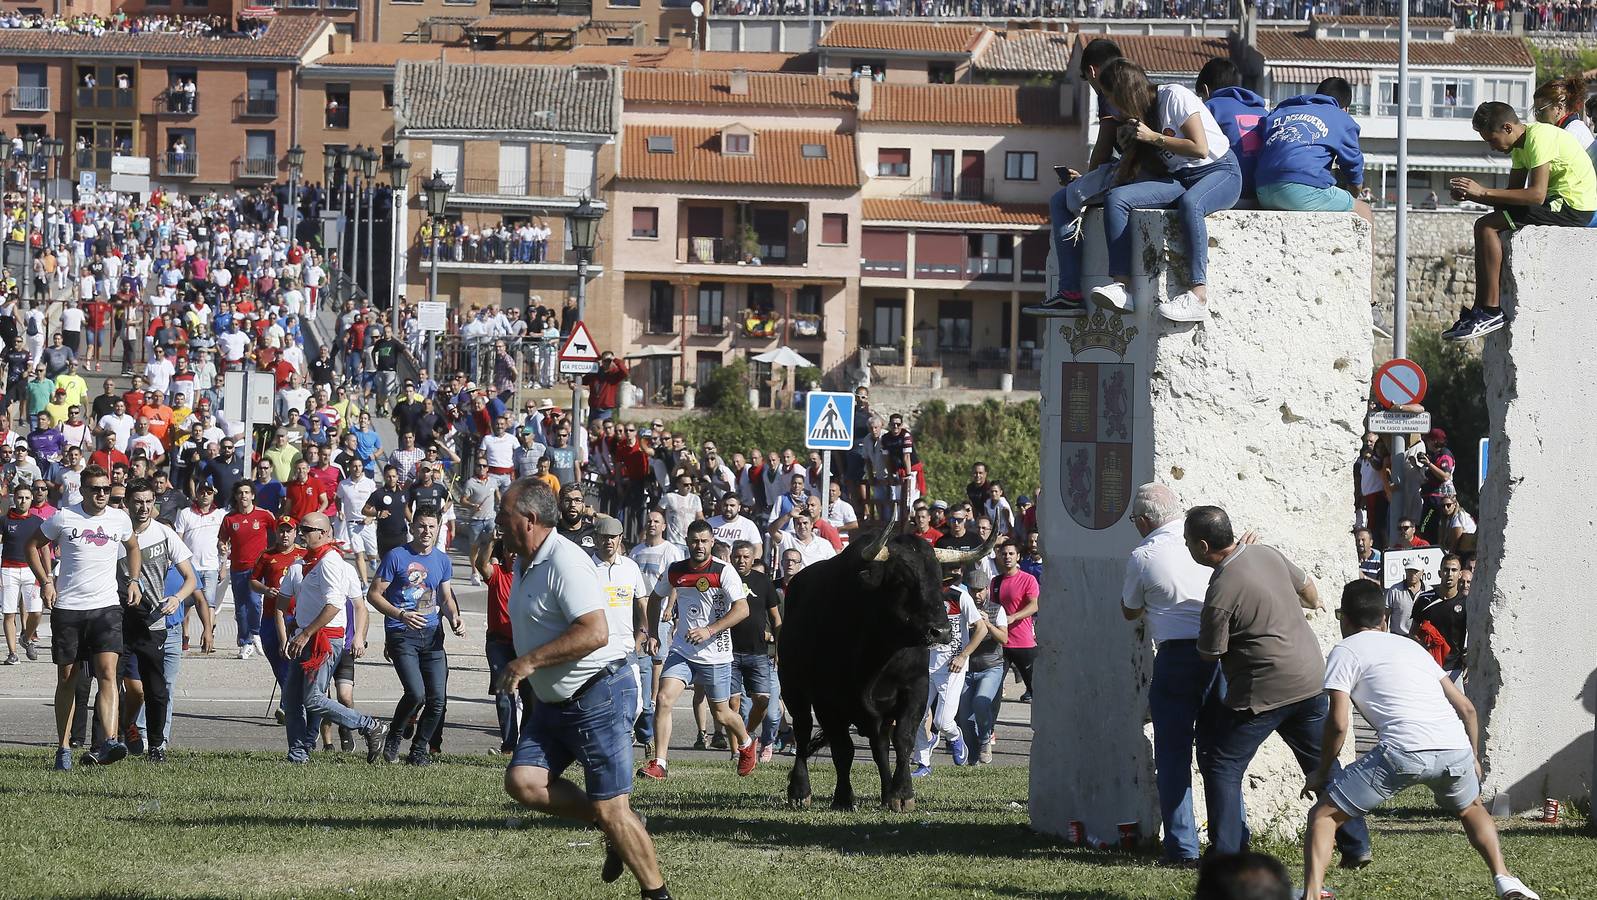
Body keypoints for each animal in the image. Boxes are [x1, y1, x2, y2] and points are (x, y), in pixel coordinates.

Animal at [776, 517, 990, 810]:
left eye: (938, 579)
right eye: (902, 580)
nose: (941, 631)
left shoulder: (915, 690)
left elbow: (903, 741)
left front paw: (902, 794)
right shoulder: (827, 701)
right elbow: (843, 749)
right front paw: (843, 798)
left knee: (878, 746)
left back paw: (888, 792)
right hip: (792, 687)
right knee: (802, 729)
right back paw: (799, 790)